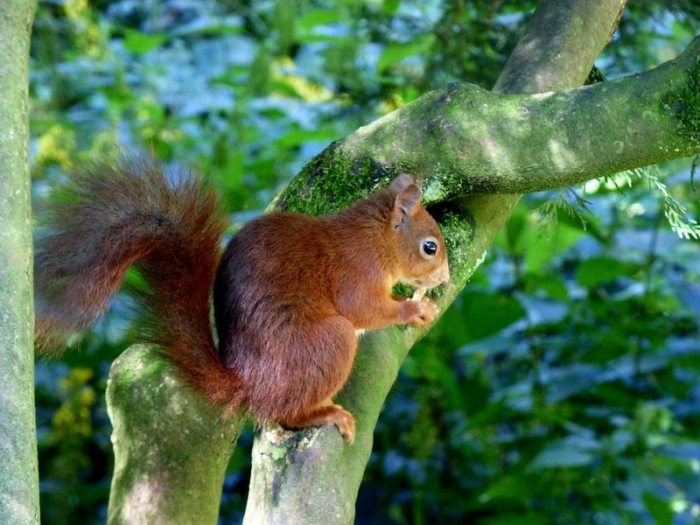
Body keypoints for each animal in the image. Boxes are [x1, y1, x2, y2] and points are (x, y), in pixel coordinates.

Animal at [34, 154, 450, 444]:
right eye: (429, 247)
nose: (444, 279)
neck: (376, 240)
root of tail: (249, 385)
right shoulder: (356, 273)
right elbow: (364, 309)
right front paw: (414, 308)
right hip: (330, 341)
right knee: (286, 412)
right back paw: (326, 414)